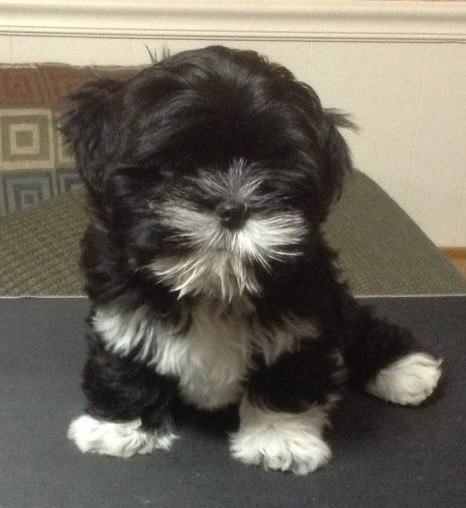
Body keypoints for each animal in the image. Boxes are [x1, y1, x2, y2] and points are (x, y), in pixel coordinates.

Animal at [61, 45, 440, 474]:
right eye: (174, 166)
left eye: (272, 170)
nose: (232, 208)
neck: (214, 286)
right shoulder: (121, 310)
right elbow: (124, 357)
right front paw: (120, 425)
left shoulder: (303, 319)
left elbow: (288, 374)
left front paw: (280, 438)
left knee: (356, 325)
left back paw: (405, 366)